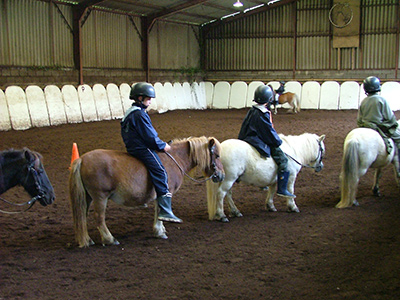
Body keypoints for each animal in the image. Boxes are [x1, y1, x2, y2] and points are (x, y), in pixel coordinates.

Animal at [69, 137, 225, 247]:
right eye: (217, 155)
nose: (221, 175)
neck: (175, 159)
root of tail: (82, 159)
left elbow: (158, 210)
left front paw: (159, 230)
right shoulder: (165, 191)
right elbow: (161, 210)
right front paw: (160, 231)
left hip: (87, 198)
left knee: (82, 216)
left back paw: (87, 240)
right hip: (100, 197)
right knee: (99, 218)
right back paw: (109, 239)